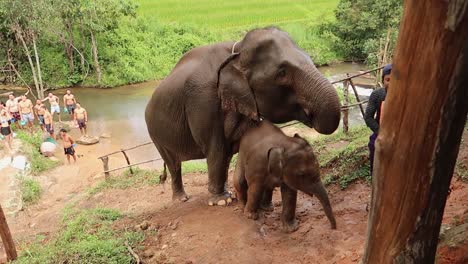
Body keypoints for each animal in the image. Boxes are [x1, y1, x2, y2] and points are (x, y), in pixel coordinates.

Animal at [146, 26, 340, 205]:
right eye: (282, 73)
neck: (237, 50)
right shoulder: (202, 101)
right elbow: (215, 149)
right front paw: (221, 202)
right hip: (155, 134)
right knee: (174, 164)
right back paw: (182, 199)